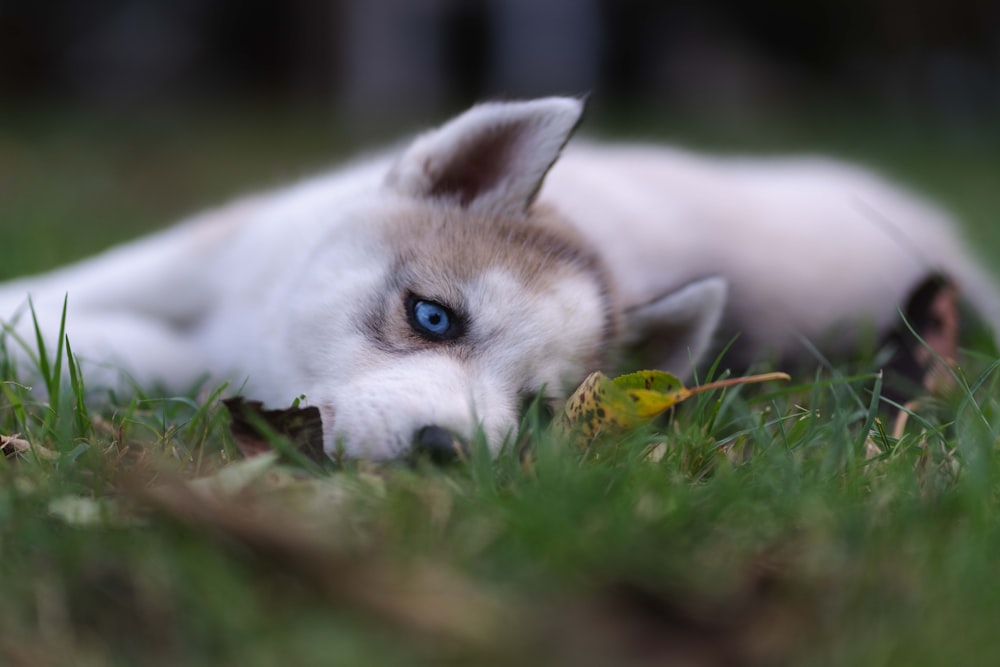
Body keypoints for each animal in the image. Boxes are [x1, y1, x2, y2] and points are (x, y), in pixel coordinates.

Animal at [1, 99, 1000, 462]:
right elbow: (84, 278)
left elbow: (126, 350)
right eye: (434, 316)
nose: (449, 450)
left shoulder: (205, 362)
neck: (257, 327)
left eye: (540, 408)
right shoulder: (220, 246)